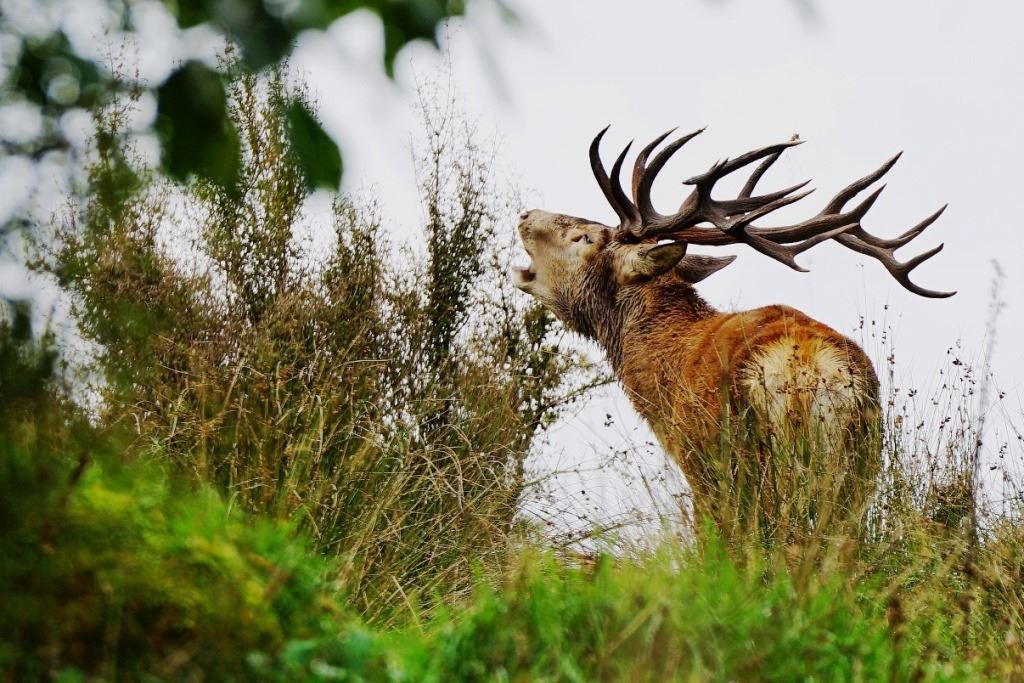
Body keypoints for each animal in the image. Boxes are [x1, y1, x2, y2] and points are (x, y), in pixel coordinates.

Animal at [512, 126, 953, 536]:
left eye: (583, 237)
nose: (525, 215)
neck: (659, 373)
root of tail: (813, 371)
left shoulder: (698, 467)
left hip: (753, 463)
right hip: (859, 463)